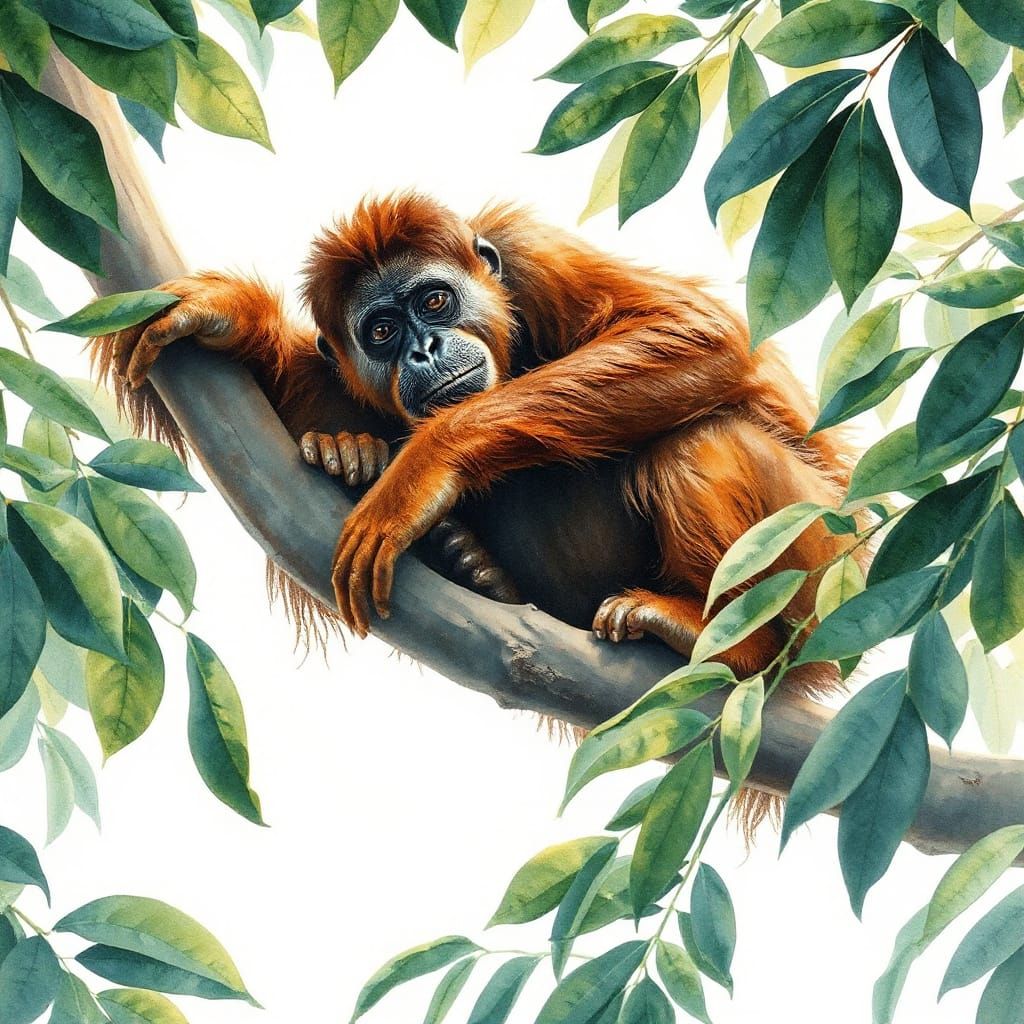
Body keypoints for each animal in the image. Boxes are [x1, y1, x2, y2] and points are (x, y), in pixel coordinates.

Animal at [97, 192, 858, 695]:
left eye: (433, 302)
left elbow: (696, 331)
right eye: (381, 332)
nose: (426, 348)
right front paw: (230, 318)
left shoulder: (530, 252)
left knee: (700, 439)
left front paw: (418, 472)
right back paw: (454, 549)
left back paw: (730, 644)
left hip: (827, 559)